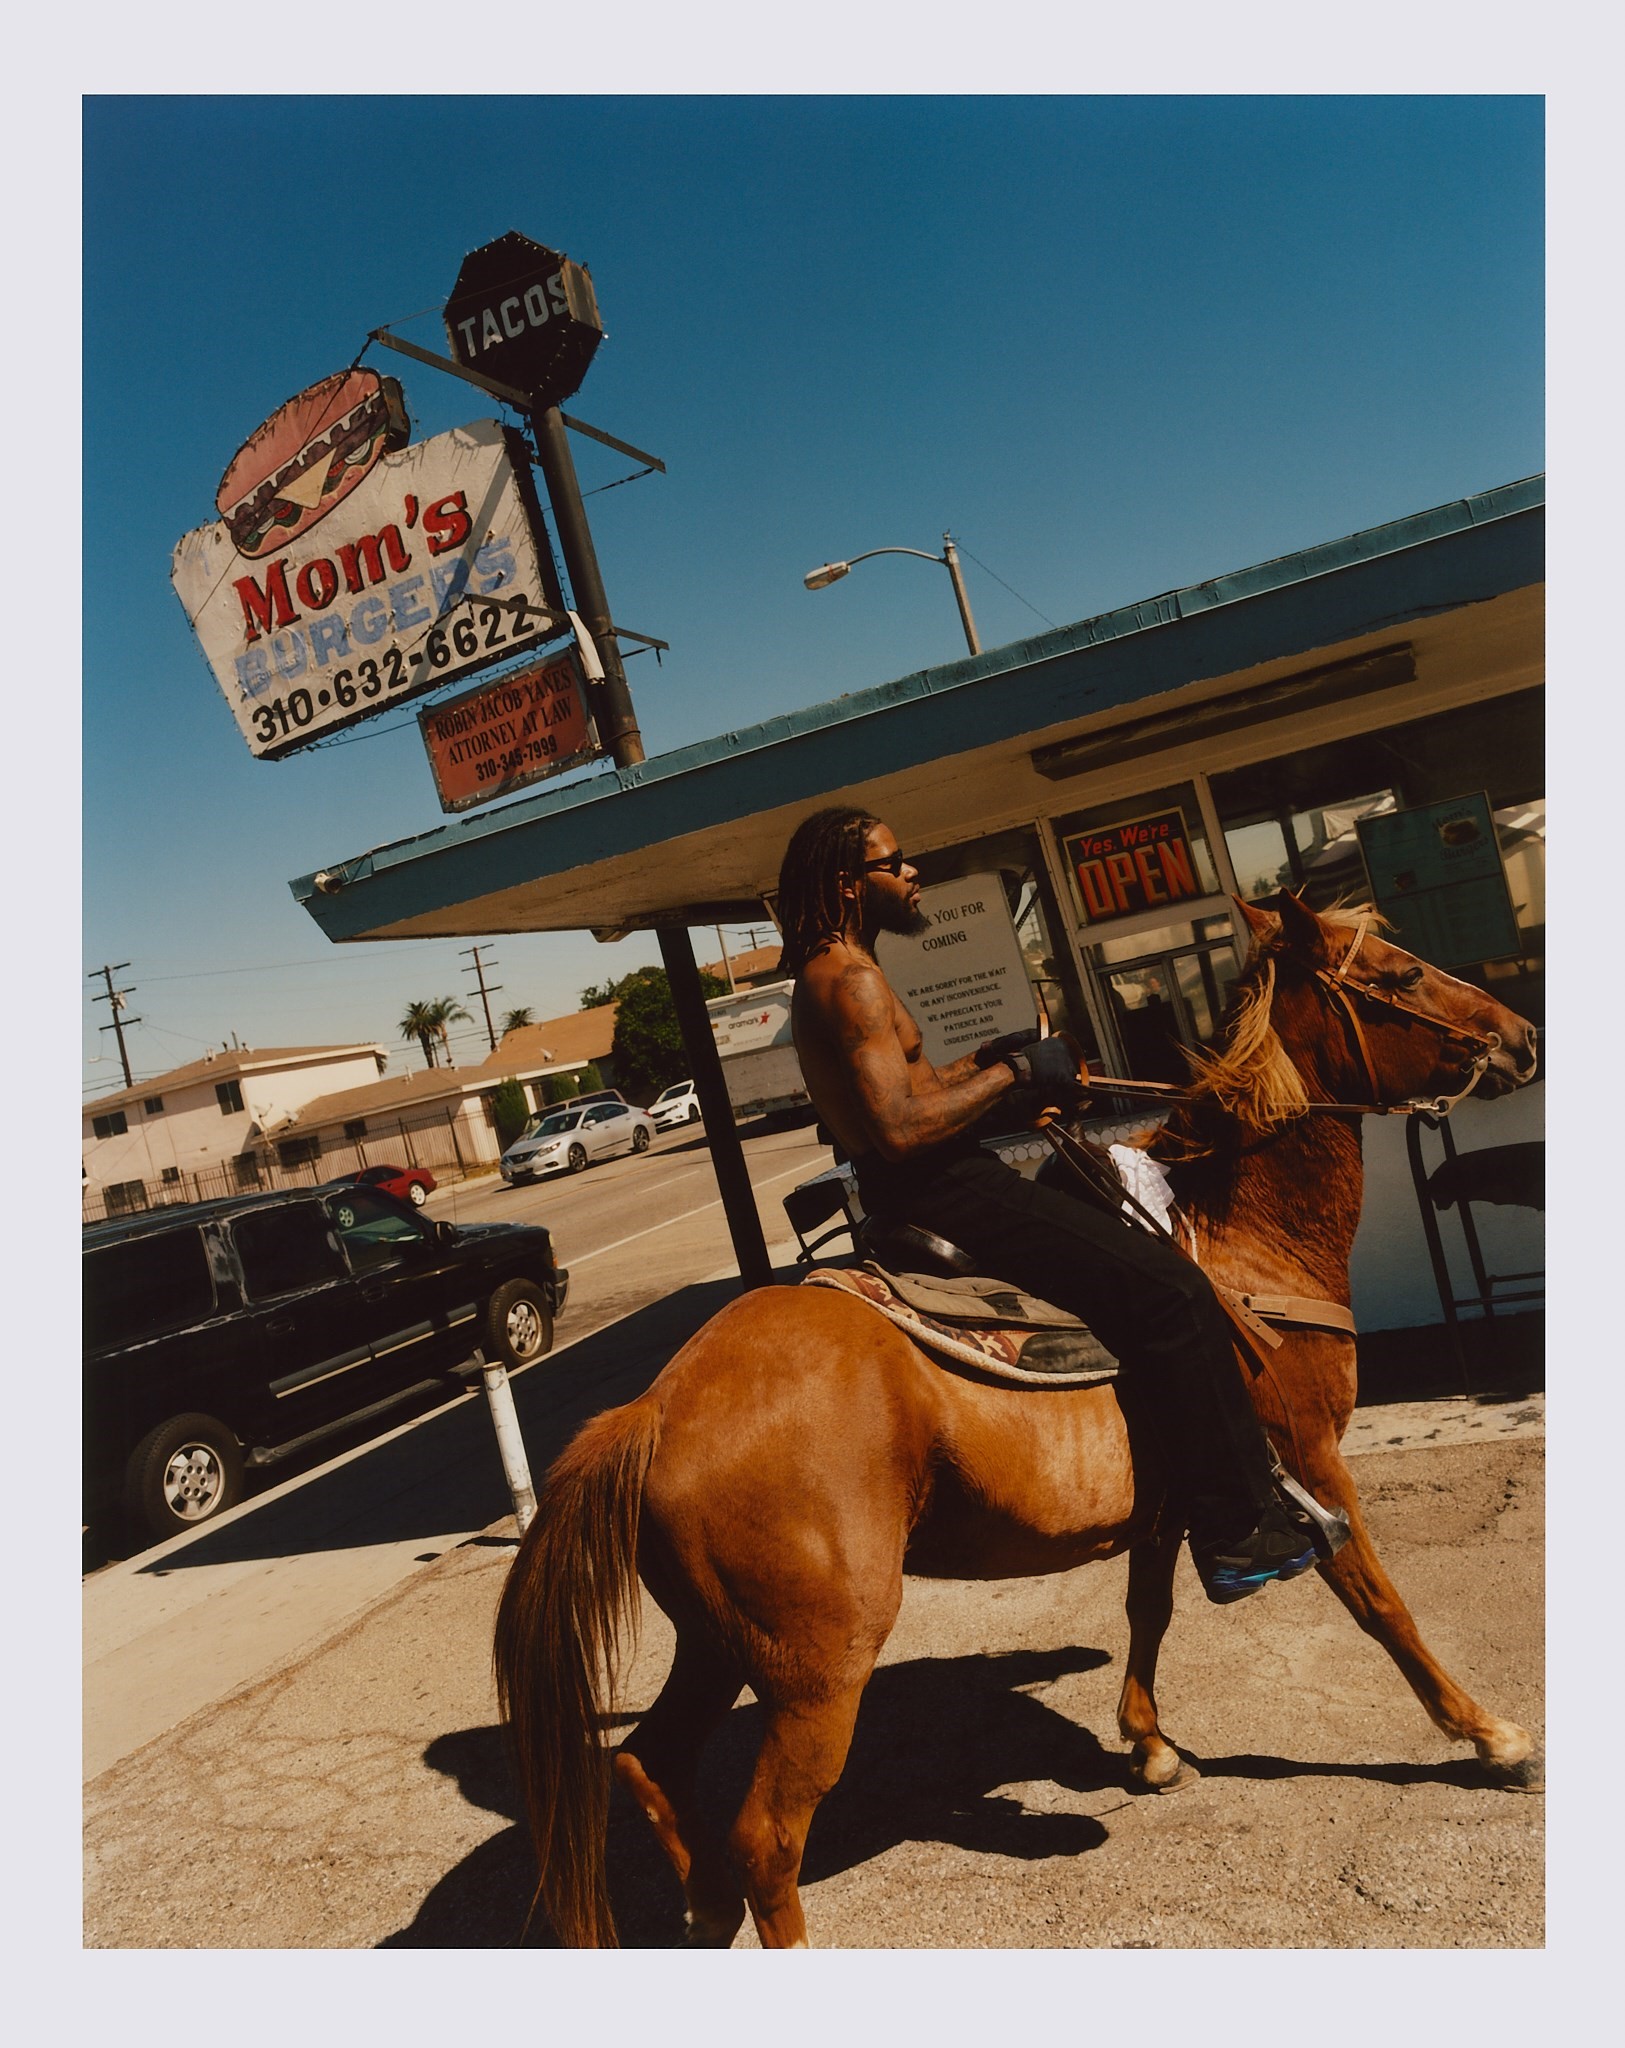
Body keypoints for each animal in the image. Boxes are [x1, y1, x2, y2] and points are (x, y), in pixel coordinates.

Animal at [491, 888, 1532, 1941]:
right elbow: (1381, 1605)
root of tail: (654, 1407)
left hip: (718, 1642)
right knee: (764, 1843)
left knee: (648, 1764)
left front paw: (1149, 1746)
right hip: (817, 1665)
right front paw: (1489, 1736)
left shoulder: (1170, 1499)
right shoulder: (1309, 1460)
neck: (1240, 1241)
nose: (1520, 1035)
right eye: (1400, 975)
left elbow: (1147, 1609)